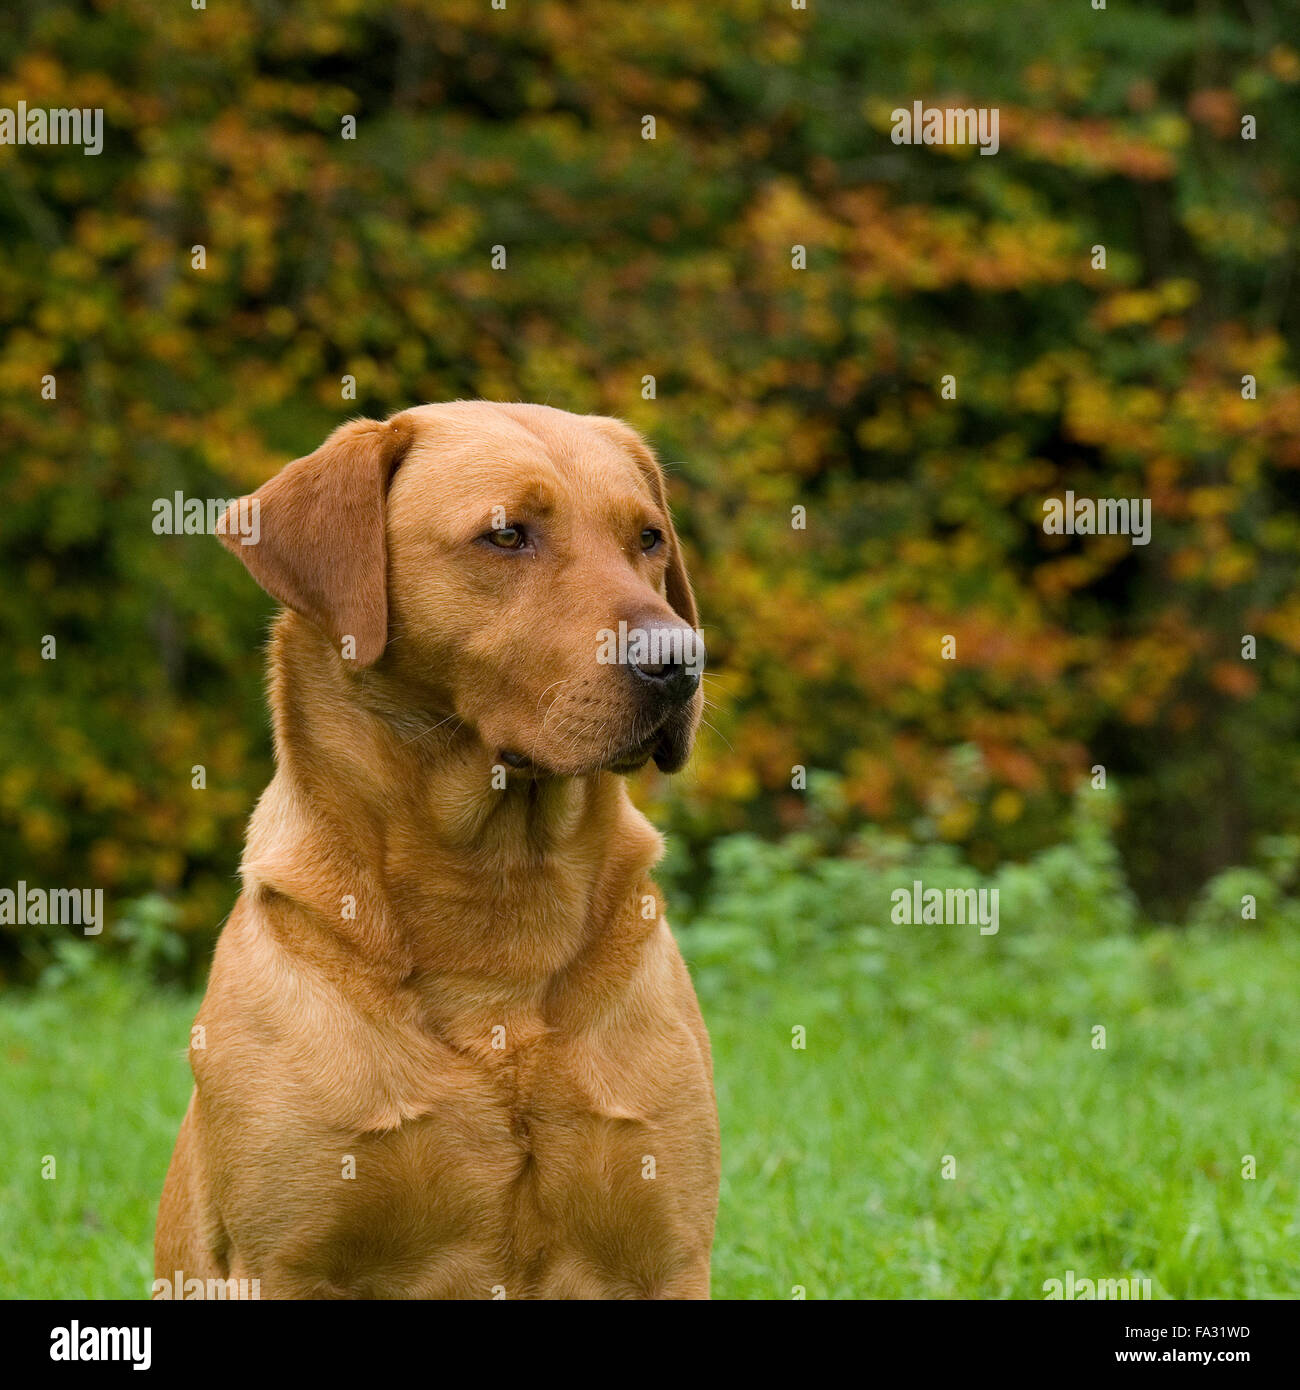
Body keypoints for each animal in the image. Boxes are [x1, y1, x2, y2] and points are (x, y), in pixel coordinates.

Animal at [156, 403, 722, 1301]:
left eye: (648, 538)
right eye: (506, 535)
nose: (680, 663)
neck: (495, 899)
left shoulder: (667, 1249)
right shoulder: (282, 1260)